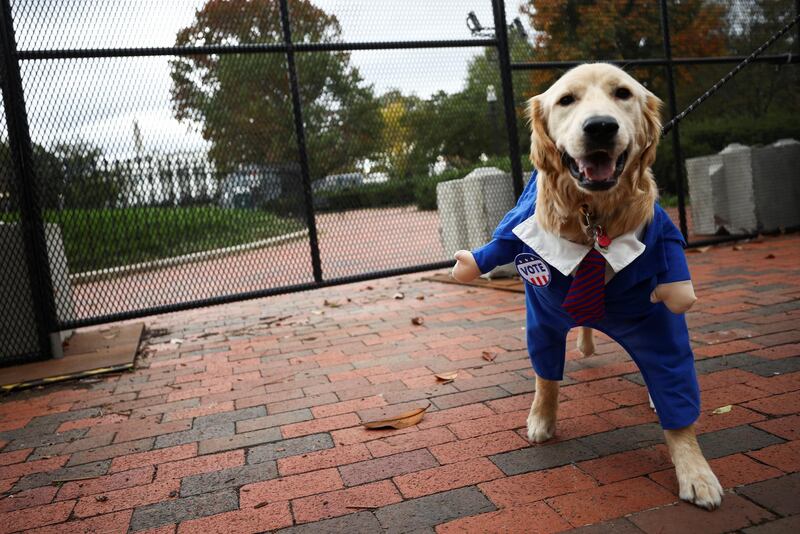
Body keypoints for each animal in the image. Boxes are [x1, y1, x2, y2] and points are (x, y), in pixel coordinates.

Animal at [454, 63, 720, 510]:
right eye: (566, 100)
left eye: (623, 94)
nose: (600, 127)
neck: (593, 219)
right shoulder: (542, 320)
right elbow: (546, 378)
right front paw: (541, 419)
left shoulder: (659, 325)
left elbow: (677, 397)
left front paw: (695, 471)